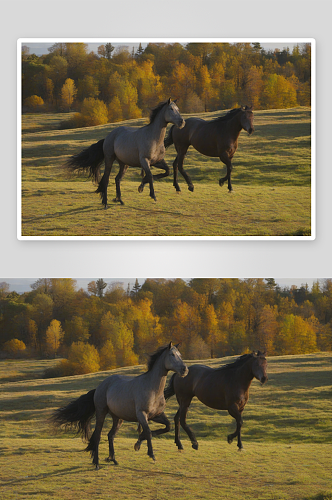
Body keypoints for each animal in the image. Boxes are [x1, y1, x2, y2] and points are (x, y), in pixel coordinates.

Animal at [50, 344, 188, 468]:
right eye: (172, 355)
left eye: (180, 355)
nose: (185, 370)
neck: (152, 389)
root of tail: (100, 387)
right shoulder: (142, 414)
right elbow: (148, 432)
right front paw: (150, 453)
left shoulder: (156, 415)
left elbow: (167, 427)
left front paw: (138, 442)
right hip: (101, 413)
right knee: (98, 435)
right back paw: (97, 463)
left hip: (118, 418)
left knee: (110, 435)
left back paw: (112, 459)